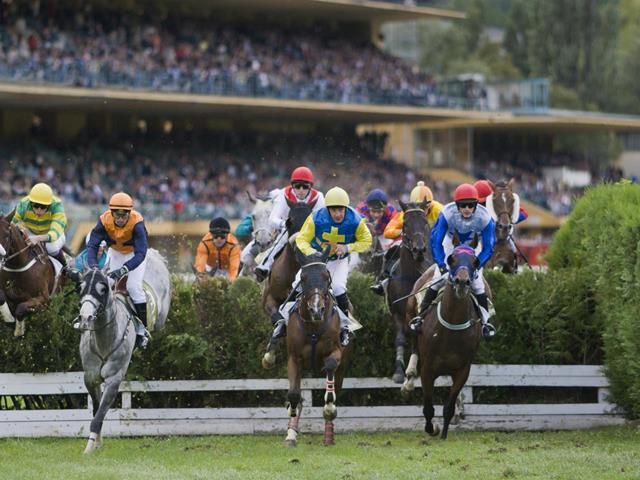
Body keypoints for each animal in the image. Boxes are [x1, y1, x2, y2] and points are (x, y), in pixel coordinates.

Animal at [0, 210, 59, 338]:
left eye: (6, 235)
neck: (17, 266)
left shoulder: (44, 299)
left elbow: (21, 308)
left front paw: (19, 331)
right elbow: (2, 297)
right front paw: (9, 319)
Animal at [77, 248, 171, 454]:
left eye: (103, 289)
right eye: (81, 288)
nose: (86, 317)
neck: (104, 339)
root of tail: (153, 253)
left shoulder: (114, 378)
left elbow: (99, 414)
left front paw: (89, 447)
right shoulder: (90, 376)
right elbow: (97, 410)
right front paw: (96, 443)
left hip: (161, 316)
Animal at [284, 249, 356, 448]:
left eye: (326, 277)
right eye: (303, 278)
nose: (317, 310)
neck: (313, 326)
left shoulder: (337, 353)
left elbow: (330, 367)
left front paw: (329, 408)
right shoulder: (293, 357)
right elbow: (294, 394)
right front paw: (291, 431)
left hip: (343, 366)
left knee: (336, 386)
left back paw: (328, 435)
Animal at [384, 201, 436, 384]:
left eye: (425, 222)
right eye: (405, 223)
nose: (419, 249)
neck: (412, 277)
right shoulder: (396, 311)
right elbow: (400, 338)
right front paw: (399, 371)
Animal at [402, 248, 488, 438]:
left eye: (475, 262)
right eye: (452, 260)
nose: (462, 282)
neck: (451, 329)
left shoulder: (462, 371)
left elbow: (449, 407)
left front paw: (444, 433)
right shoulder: (428, 370)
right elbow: (428, 408)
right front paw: (432, 428)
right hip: (410, 316)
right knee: (414, 345)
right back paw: (408, 380)